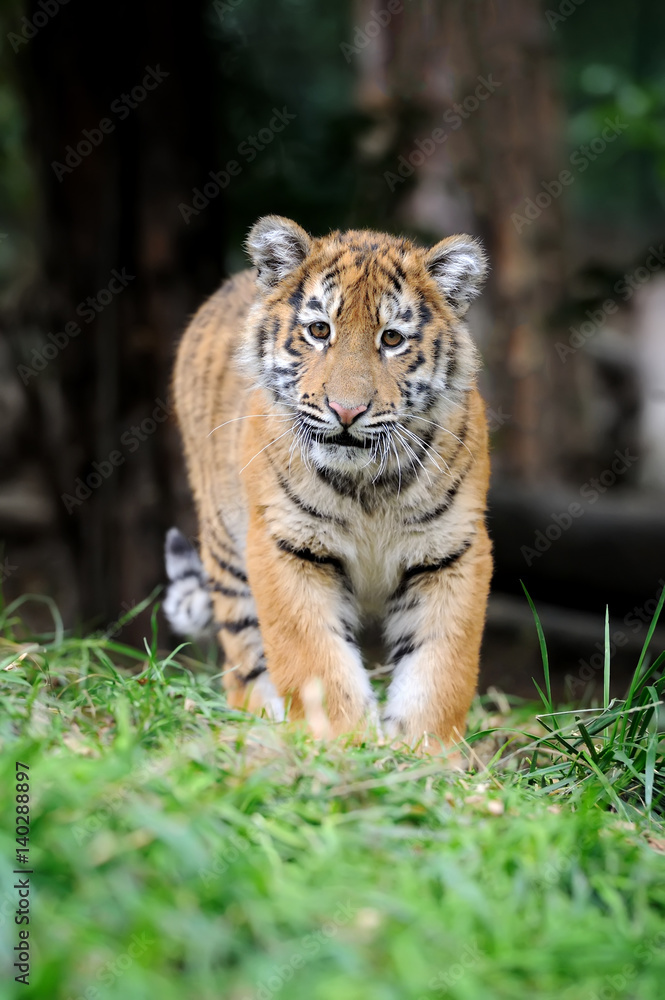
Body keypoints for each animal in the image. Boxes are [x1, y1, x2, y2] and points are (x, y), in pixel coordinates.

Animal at [164, 214, 493, 749]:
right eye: (320, 330)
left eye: (392, 339)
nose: (346, 411)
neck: (370, 487)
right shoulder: (285, 544)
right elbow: (316, 657)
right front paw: (342, 743)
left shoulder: (453, 550)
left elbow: (440, 667)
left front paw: (425, 753)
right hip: (227, 550)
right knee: (244, 665)